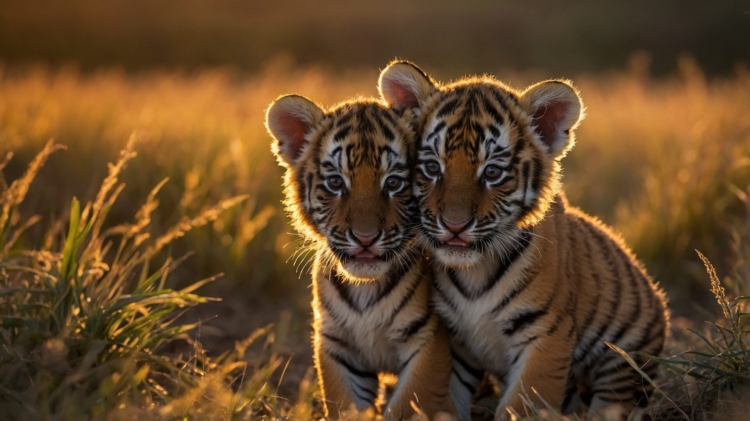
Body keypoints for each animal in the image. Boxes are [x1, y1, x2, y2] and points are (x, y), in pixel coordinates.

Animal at [266, 94, 456, 419]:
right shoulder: (339, 348)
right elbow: (347, 408)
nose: (365, 238)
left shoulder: (427, 338)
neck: (365, 288)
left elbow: (406, 406)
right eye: (335, 183)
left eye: (393, 183)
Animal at [377, 61, 670, 420]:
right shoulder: (455, 341)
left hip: (623, 363)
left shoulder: (545, 333)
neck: (474, 270)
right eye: (432, 167)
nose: (454, 226)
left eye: (492, 173)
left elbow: (523, 404)